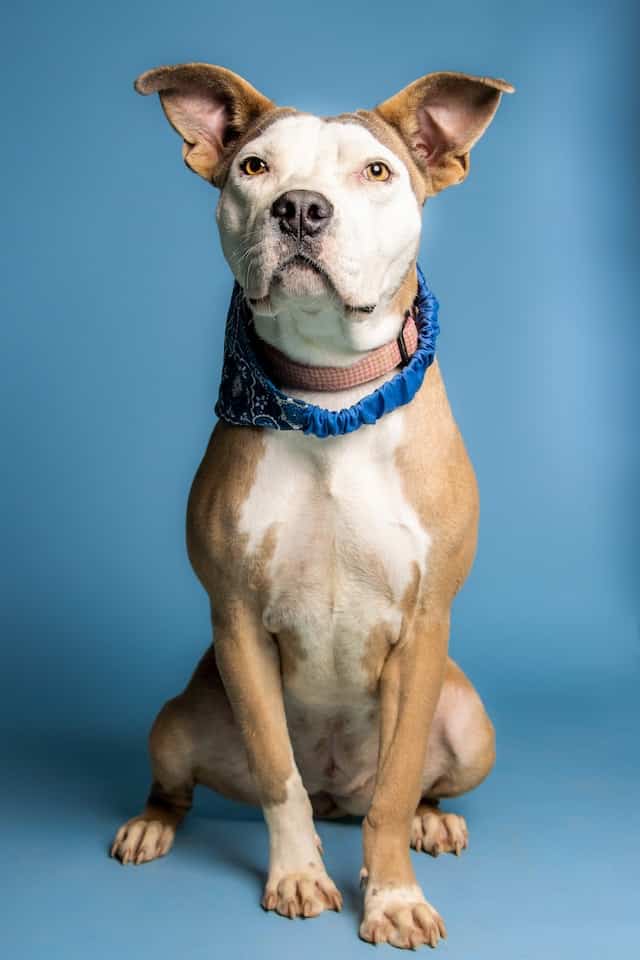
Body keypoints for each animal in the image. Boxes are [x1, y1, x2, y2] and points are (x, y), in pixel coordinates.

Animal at [110, 62, 510, 952]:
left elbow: (395, 788)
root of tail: (339, 793)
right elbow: (276, 776)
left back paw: (433, 821)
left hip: (472, 728)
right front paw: (297, 876)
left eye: (377, 172)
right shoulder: (236, 623)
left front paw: (392, 896)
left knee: (407, 787)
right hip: (178, 720)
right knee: (188, 783)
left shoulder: (424, 626)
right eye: (255, 168)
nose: (299, 207)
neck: (329, 397)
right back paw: (152, 825)